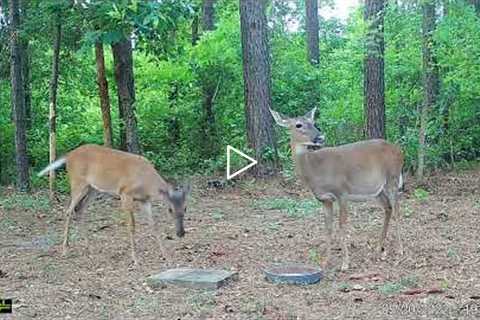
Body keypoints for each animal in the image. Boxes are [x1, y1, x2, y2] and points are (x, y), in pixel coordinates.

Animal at [37, 145, 189, 264]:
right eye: (170, 209)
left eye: (185, 208)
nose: (181, 233)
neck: (146, 182)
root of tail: (68, 155)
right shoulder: (125, 194)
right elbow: (131, 225)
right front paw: (135, 259)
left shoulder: (144, 200)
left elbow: (154, 225)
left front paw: (167, 256)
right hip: (77, 182)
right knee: (68, 211)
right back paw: (65, 251)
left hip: (93, 189)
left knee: (79, 210)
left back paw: (89, 248)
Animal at [270, 107, 404, 270]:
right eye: (298, 125)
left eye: (313, 122)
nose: (320, 137)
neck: (314, 170)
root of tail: (400, 151)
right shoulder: (324, 199)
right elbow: (328, 227)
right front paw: (325, 262)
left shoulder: (342, 192)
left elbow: (342, 225)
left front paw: (345, 263)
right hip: (377, 190)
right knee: (388, 208)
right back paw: (379, 247)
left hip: (393, 178)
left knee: (397, 210)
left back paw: (400, 250)